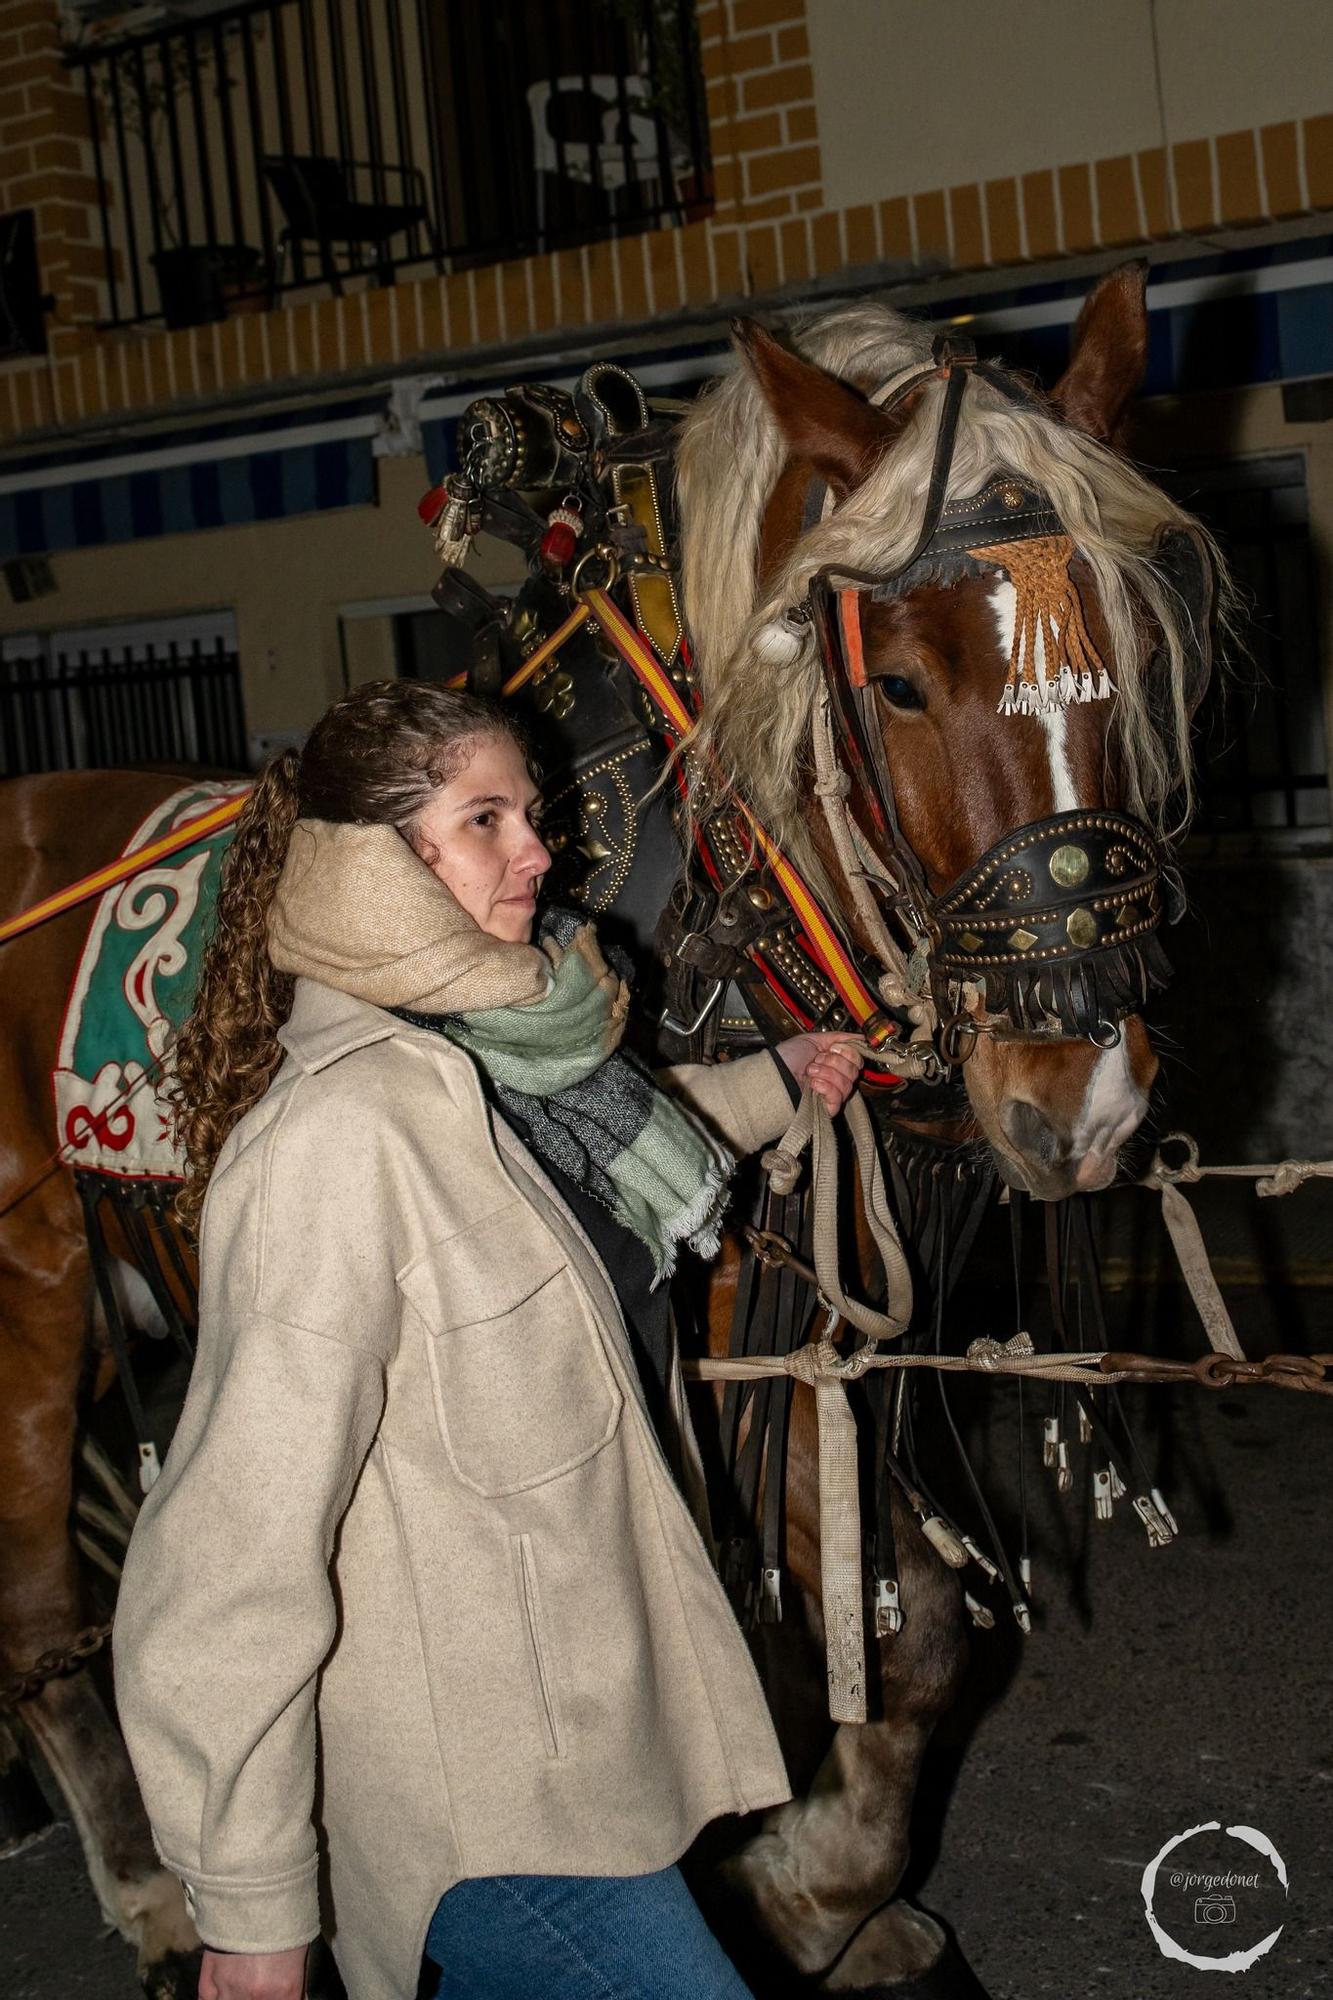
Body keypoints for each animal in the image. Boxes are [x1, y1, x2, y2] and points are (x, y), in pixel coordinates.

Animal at [0, 266, 1208, 2000]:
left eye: (1135, 656)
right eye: (900, 683)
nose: (1081, 1102)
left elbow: (900, 1629)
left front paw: (834, 1892)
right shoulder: (714, 1309)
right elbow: (899, 1615)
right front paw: (802, 1884)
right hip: (29, 1294)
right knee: (36, 1604)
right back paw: (156, 1888)